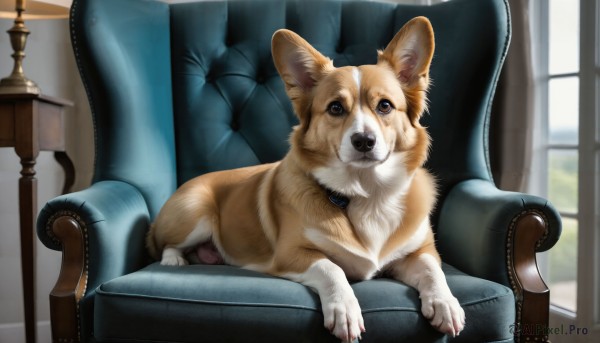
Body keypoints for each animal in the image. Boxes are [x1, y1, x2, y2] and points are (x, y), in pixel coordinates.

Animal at [148, 17, 466, 342]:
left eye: (385, 106)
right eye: (336, 107)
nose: (364, 141)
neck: (366, 191)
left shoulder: (420, 250)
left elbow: (433, 270)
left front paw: (446, 304)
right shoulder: (291, 255)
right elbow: (332, 269)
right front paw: (345, 310)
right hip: (195, 212)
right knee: (165, 242)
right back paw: (174, 260)